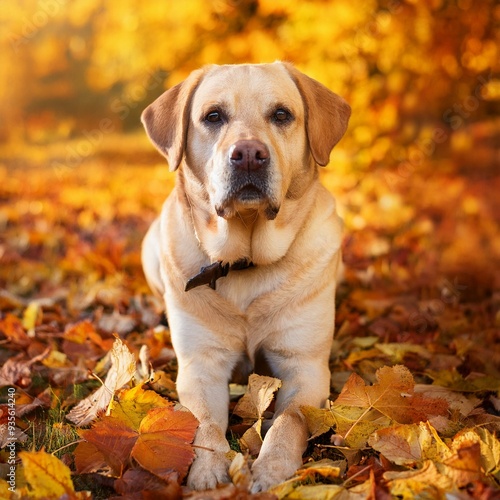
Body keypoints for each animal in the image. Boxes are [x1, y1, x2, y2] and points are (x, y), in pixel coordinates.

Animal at [141, 63, 350, 492]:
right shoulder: (201, 365)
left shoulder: (305, 366)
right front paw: (208, 471)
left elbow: (289, 420)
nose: (249, 154)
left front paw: (272, 469)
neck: (245, 260)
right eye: (213, 116)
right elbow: (203, 423)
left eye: (282, 114)